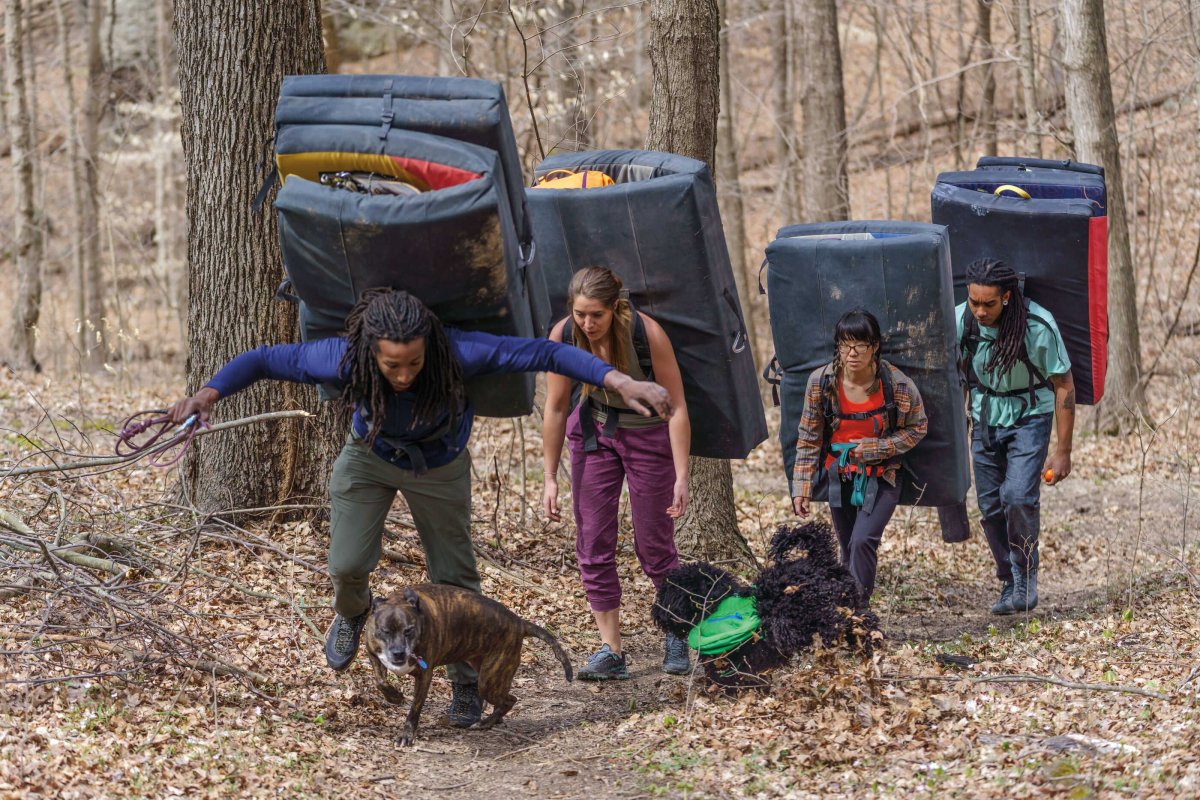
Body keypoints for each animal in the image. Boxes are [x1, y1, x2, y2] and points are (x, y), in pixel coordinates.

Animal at [362, 582, 573, 743]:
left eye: (409, 630)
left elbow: (415, 708)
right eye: (385, 631)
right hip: (485, 670)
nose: (398, 653)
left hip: (489, 680)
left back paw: (486, 722)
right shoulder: (373, 653)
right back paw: (492, 719)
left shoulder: (424, 676)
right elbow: (380, 681)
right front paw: (394, 696)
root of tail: (519, 623)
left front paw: (407, 734)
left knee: (510, 700)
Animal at [657, 522, 883, 690]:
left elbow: (729, 672)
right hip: (847, 602)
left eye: (668, 592)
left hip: (824, 610)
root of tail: (821, 561)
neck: (717, 603)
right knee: (864, 619)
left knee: (847, 622)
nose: (657, 612)